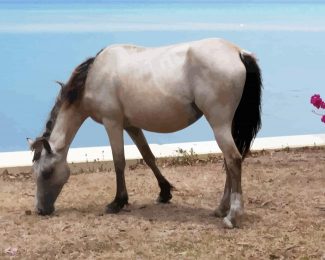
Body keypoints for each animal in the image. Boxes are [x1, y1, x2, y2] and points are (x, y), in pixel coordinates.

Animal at [27, 37, 260, 229]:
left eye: (46, 172)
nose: (41, 210)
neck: (95, 75)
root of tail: (239, 52)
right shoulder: (131, 126)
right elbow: (148, 156)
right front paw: (164, 192)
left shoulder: (112, 123)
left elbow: (119, 162)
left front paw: (117, 202)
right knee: (229, 162)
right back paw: (221, 209)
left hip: (219, 124)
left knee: (233, 159)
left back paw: (232, 216)